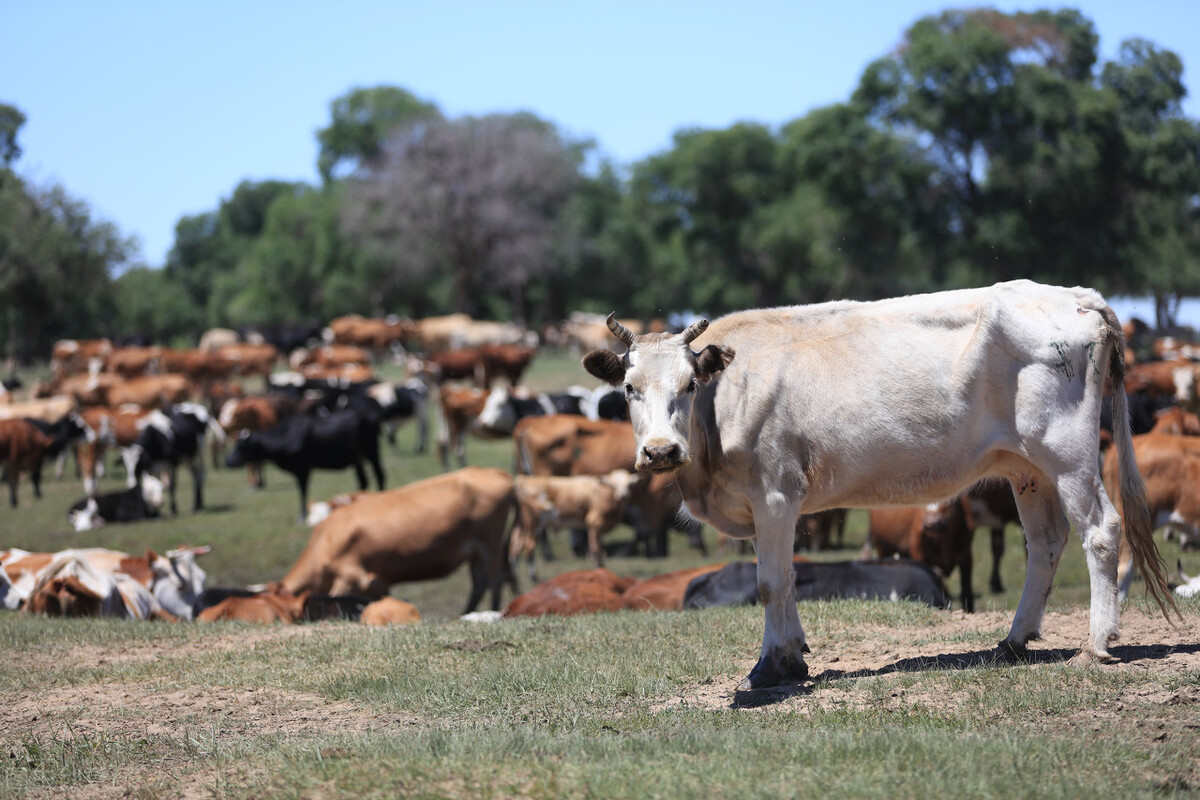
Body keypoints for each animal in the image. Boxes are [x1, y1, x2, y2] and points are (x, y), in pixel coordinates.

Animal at [225, 407, 384, 520]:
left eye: (242, 447)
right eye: (235, 445)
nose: (227, 461)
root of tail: (370, 415)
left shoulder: (303, 468)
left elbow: (302, 490)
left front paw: (301, 515)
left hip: (372, 451)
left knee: (380, 474)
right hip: (357, 459)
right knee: (363, 480)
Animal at [278, 465, 518, 618]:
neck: (325, 541)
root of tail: (494, 472)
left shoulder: (352, 579)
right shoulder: (379, 583)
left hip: (490, 544)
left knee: (495, 579)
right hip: (476, 551)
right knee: (480, 582)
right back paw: (466, 612)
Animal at [585, 283, 1176, 695]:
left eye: (689, 385)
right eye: (629, 389)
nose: (661, 451)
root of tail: (1074, 295)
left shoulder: (775, 494)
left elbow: (771, 583)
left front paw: (769, 666)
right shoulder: (767, 506)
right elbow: (788, 577)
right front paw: (794, 656)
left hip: (1068, 453)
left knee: (1101, 530)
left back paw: (1099, 640)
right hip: (1026, 467)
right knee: (1046, 542)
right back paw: (1013, 641)